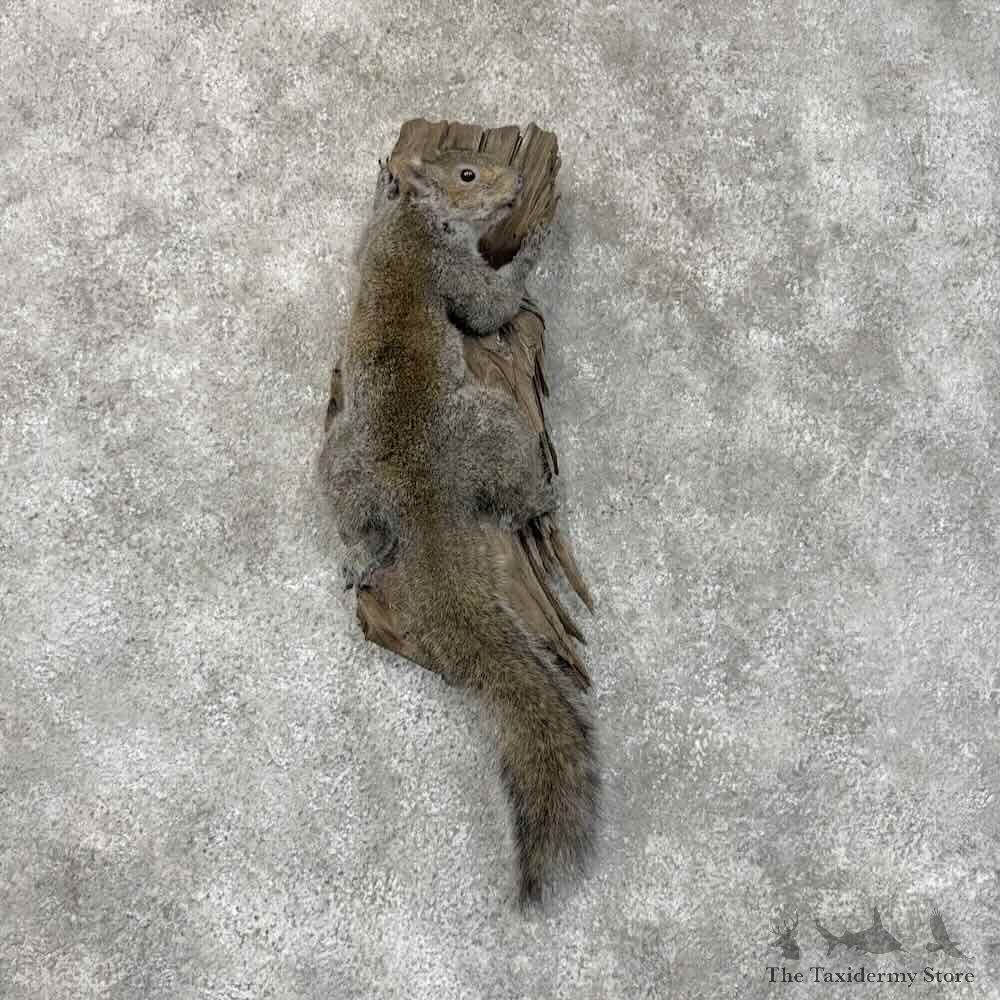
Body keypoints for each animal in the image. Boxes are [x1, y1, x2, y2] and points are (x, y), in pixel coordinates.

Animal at [318, 149, 599, 906]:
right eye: (470, 174)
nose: (515, 185)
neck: (416, 222)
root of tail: (425, 500)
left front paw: (384, 179)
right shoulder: (451, 270)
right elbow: (487, 307)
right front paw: (532, 245)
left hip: (339, 467)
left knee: (361, 524)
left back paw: (364, 555)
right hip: (497, 420)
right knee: (514, 488)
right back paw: (541, 493)